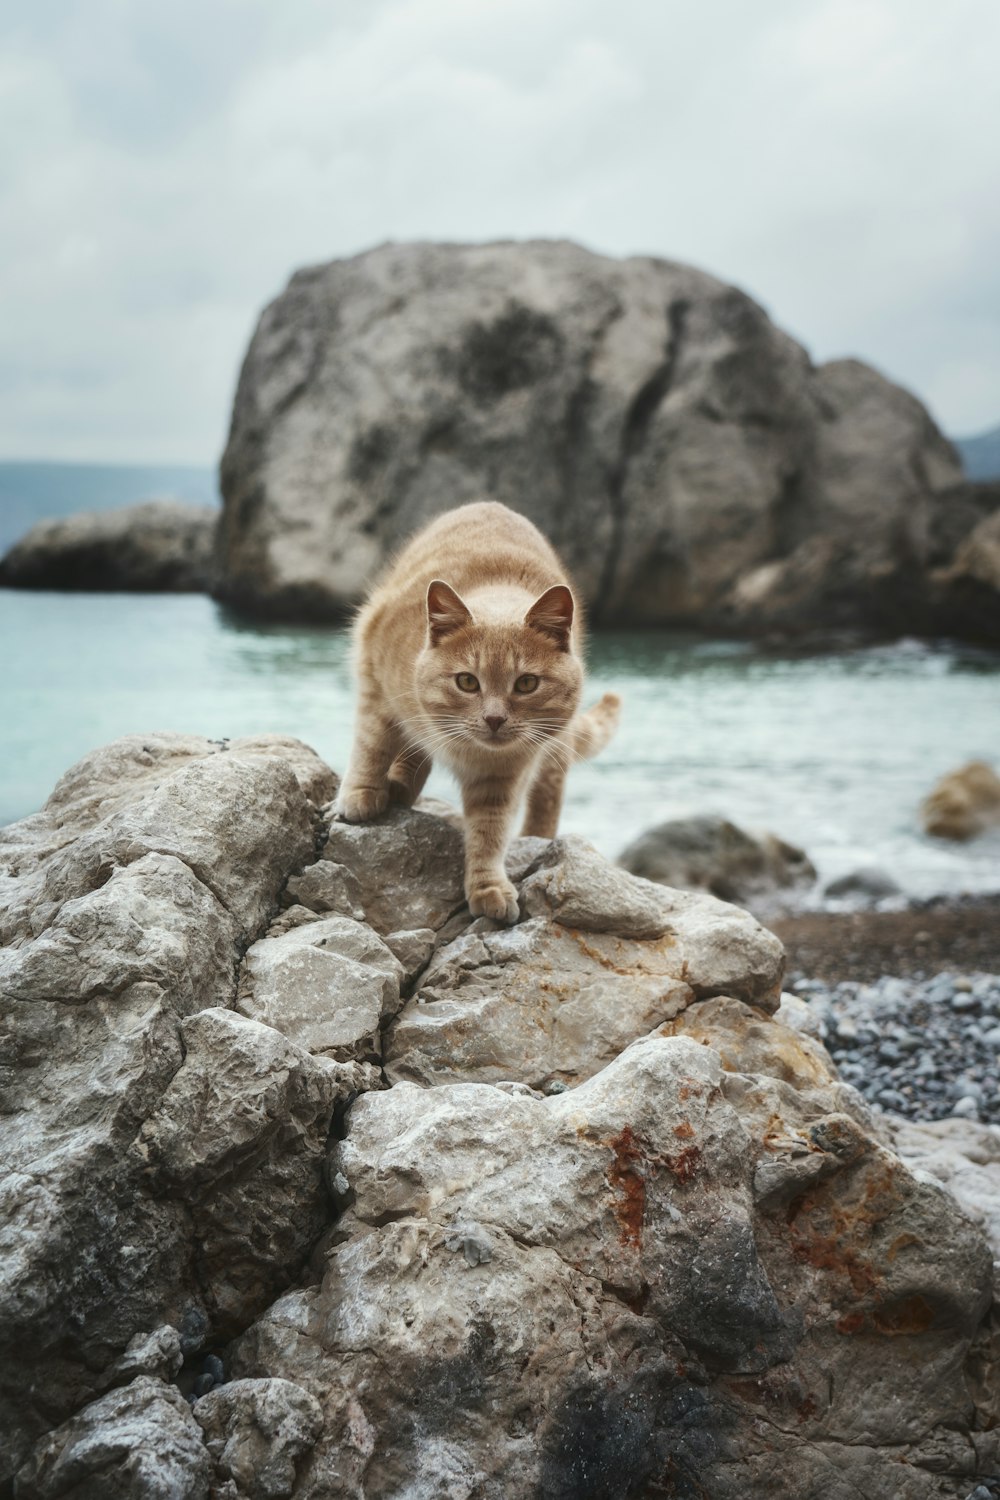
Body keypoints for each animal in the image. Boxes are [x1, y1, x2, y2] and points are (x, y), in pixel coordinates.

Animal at [338, 504, 617, 918]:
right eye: (467, 682)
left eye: (526, 684)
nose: (495, 718)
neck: (468, 750)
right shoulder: (375, 677)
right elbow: (373, 742)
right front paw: (362, 793)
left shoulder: (504, 777)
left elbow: (490, 831)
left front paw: (488, 887)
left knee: (546, 797)